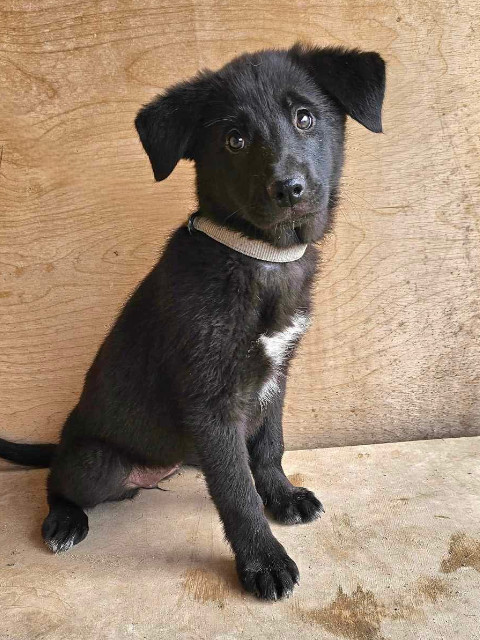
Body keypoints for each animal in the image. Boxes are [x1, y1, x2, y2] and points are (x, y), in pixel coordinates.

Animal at [0, 44, 385, 600]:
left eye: (305, 117)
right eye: (235, 140)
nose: (289, 189)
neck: (259, 258)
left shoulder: (276, 378)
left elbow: (268, 447)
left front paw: (282, 495)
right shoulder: (210, 402)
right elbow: (236, 492)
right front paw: (263, 560)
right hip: (94, 463)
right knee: (58, 481)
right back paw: (65, 520)